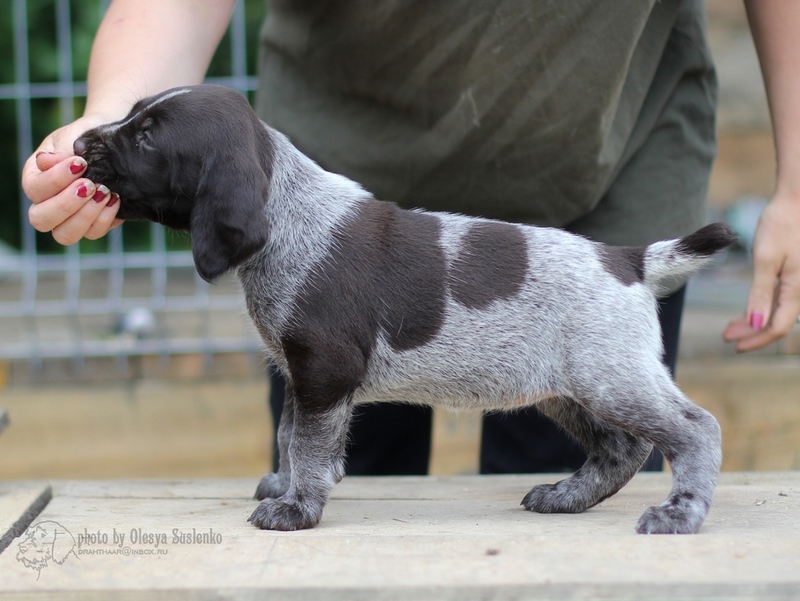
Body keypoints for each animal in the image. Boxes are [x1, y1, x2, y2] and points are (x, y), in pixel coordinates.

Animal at [75, 82, 736, 532]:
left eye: (146, 137)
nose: (79, 141)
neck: (288, 214)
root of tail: (626, 259)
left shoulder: (325, 371)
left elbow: (310, 445)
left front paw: (298, 507)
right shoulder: (300, 373)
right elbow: (290, 435)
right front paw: (285, 487)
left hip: (609, 377)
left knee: (695, 429)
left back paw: (682, 512)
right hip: (565, 388)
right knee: (621, 449)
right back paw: (567, 496)